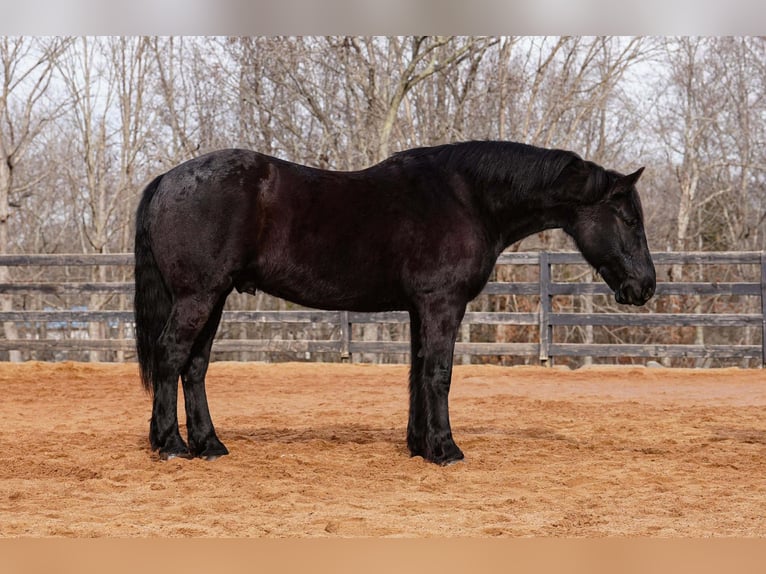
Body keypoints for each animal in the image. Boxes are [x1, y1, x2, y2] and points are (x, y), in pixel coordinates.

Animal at [134, 141, 656, 465]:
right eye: (630, 219)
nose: (646, 287)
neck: (468, 198)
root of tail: (169, 179)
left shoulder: (420, 309)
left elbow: (417, 373)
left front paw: (420, 446)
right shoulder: (443, 305)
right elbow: (439, 374)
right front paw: (446, 450)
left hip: (214, 297)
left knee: (195, 366)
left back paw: (209, 444)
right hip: (198, 297)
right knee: (171, 356)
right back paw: (171, 444)